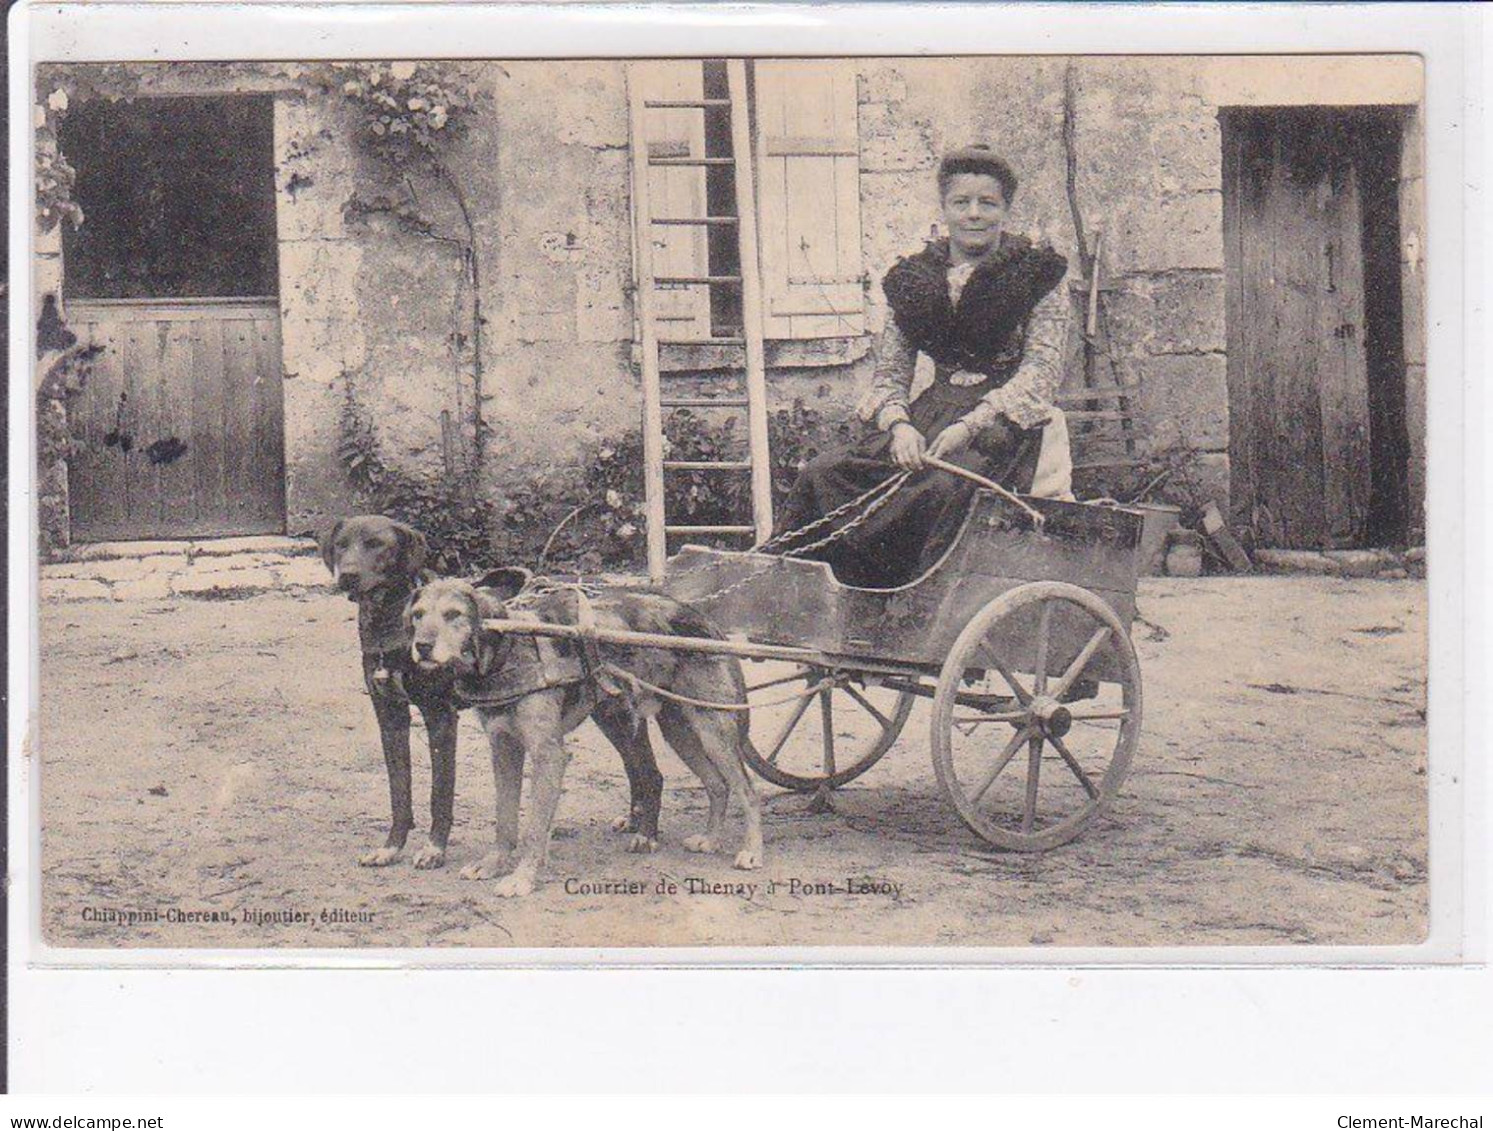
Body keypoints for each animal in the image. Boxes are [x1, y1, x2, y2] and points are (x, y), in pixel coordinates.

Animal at [316, 519, 450, 871]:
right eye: (341, 545)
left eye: (377, 544)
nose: (347, 575)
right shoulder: (390, 719)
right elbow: (399, 790)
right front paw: (391, 847)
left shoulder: (440, 718)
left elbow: (440, 793)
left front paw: (435, 849)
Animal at [406, 575, 764, 901]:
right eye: (418, 615)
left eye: (454, 614)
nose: (421, 647)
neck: (507, 654)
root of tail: (703, 619)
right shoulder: (503, 748)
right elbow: (505, 819)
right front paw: (494, 863)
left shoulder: (548, 754)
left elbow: (534, 827)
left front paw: (523, 877)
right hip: (677, 730)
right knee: (717, 784)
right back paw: (711, 838)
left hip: (712, 730)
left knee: (746, 789)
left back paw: (751, 850)